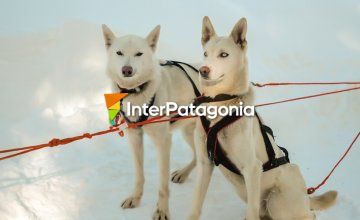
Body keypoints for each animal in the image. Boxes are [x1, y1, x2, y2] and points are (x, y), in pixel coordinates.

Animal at [102, 24, 200, 220]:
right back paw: (183, 173)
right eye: (119, 52)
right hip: (188, 132)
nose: (126, 70)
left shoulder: (163, 142)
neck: (136, 93)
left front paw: (162, 210)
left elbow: (162, 185)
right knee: (196, 157)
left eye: (139, 54)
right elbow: (139, 175)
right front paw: (135, 198)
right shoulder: (135, 137)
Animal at [188, 16, 338, 219]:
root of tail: (306, 198)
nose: (203, 70)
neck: (220, 104)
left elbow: (251, 214)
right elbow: (195, 207)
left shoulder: (252, 168)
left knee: (307, 215)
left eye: (224, 55)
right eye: (205, 53)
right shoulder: (205, 163)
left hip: (276, 200)